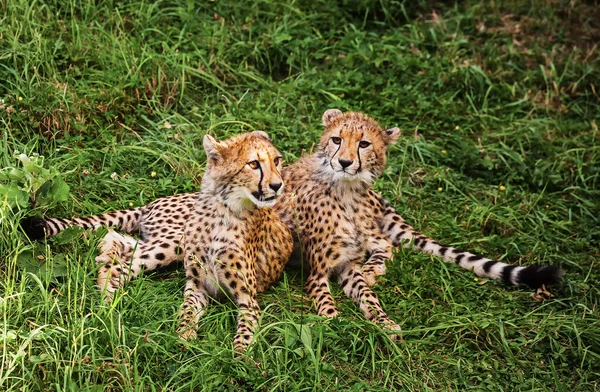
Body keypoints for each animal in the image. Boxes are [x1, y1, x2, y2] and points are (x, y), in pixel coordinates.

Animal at [22, 132, 294, 352]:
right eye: (253, 164)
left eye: (277, 161)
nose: (277, 185)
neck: (224, 210)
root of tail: (152, 203)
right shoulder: (196, 284)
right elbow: (187, 311)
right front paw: (184, 336)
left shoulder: (247, 298)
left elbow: (245, 329)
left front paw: (240, 357)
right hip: (175, 242)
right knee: (120, 256)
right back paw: (107, 299)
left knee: (117, 245)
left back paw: (105, 283)